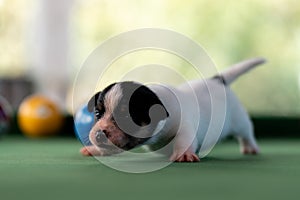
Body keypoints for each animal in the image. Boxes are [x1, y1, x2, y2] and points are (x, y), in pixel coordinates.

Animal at [79, 57, 264, 162]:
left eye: (126, 116)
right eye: (97, 113)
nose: (98, 134)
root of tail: (217, 80)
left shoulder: (185, 126)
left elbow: (184, 139)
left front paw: (184, 154)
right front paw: (96, 149)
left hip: (239, 120)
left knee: (247, 132)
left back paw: (250, 147)